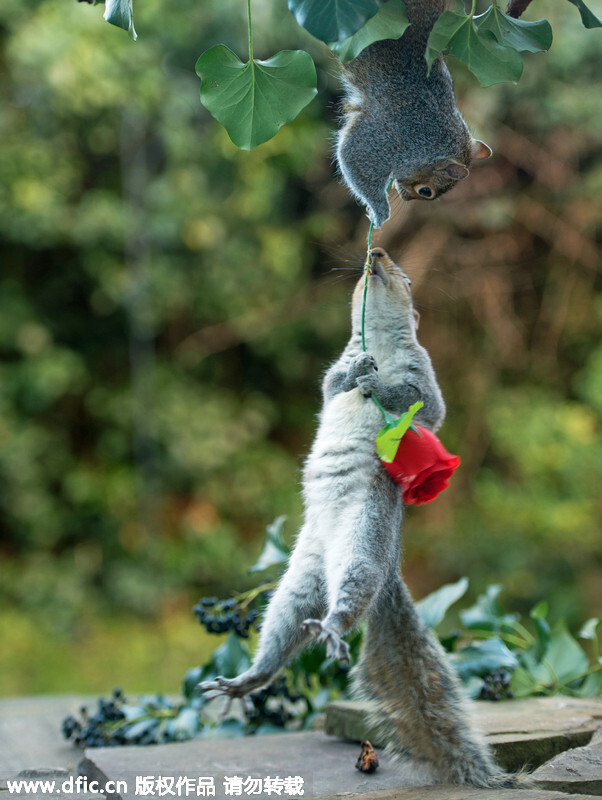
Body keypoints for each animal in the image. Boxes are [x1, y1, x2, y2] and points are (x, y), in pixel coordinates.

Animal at [199, 248, 512, 788]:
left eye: (406, 277)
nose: (377, 254)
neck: (381, 343)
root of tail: (387, 570)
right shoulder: (335, 369)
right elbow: (332, 385)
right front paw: (357, 374)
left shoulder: (425, 378)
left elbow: (425, 406)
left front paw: (378, 384)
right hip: (300, 578)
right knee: (286, 628)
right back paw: (249, 679)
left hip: (364, 542)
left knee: (349, 597)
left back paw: (334, 625)